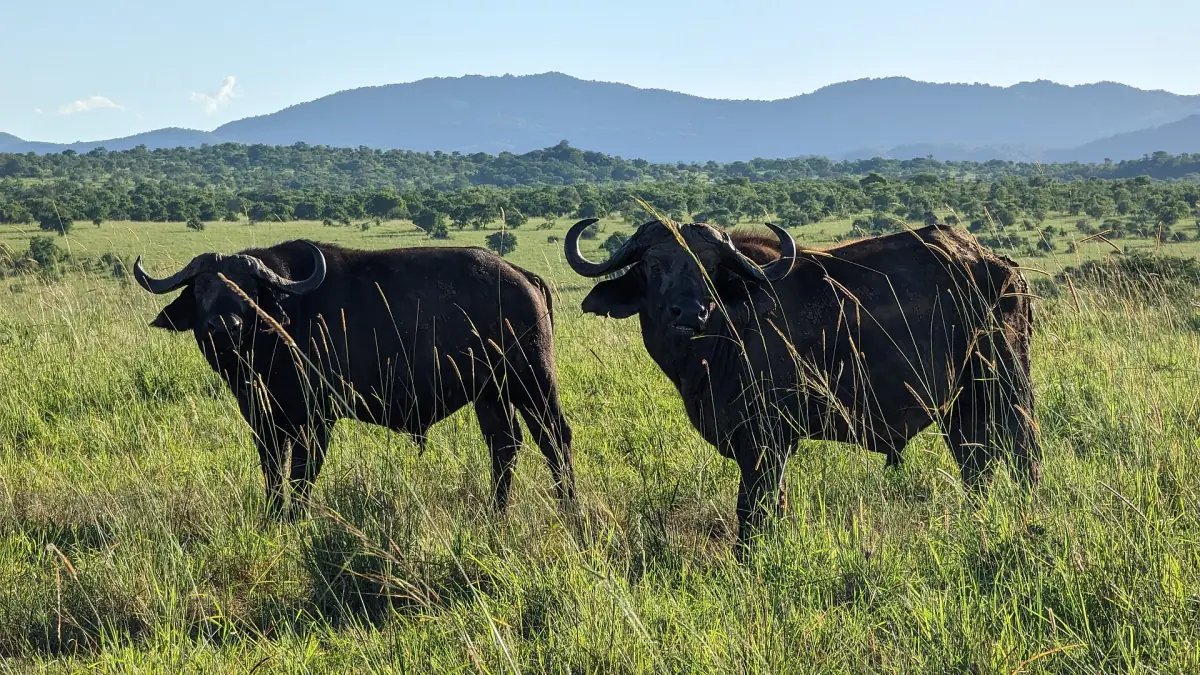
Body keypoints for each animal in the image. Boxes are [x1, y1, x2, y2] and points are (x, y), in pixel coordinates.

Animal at [134, 239, 574, 517]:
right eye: (202, 287)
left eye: (247, 290)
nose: (223, 326)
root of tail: (522, 276)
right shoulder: (264, 421)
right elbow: (273, 474)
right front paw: (274, 517)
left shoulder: (316, 420)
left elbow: (302, 474)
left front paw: (295, 518)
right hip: (489, 394)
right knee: (504, 446)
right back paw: (495, 512)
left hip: (533, 381)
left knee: (555, 439)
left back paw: (570, 509)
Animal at [564, 218, 1040, 552]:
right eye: (654, 265)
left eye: (710, 269)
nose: (689, 312)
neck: (724, 336)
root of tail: (999, 265)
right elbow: (777, 504)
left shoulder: (766, 440)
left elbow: (752, 508)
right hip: (963, 402)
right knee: (976, 463)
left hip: (1008, 384)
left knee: (1024, 454)